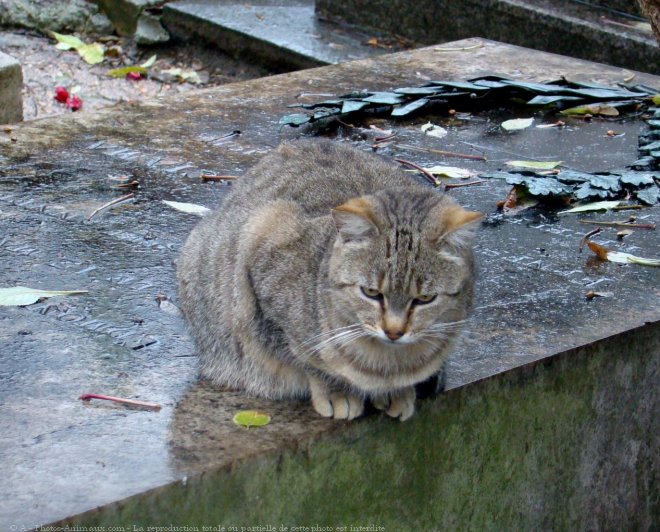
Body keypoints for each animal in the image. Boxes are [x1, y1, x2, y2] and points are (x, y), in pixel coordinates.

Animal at [178, 139, 482, 422]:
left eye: (425, 298)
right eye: (371, 292)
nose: (394, 331)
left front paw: (399, 391)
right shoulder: (266, 258)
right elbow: (305, 357)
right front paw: (337, 391)